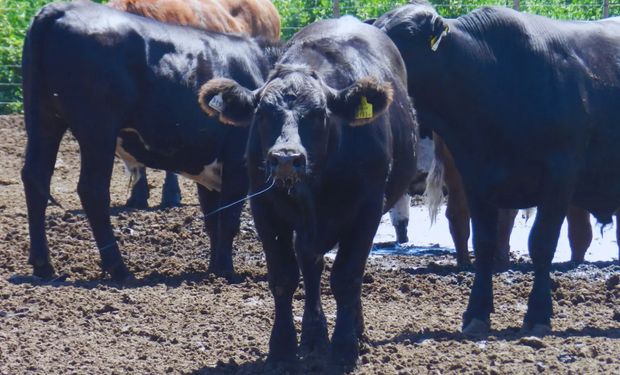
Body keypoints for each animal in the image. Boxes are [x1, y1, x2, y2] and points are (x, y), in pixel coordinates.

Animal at [199, 16, 416, 368]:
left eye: (318, 114)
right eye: (263, 114)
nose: (286, 158)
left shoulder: (368, 209)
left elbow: (347, 276)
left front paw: (344, 347)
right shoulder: (265, 209)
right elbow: (284, 276)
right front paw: (283, 346)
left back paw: (352, 330)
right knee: (310, 265)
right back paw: (313, 336)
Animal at [376, 0, 620, 334]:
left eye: (408, 34)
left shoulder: (560, 176)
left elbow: (542, 244)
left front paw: (537, 314)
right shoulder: (476, 178)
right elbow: (484, 244)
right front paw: (476, 312)